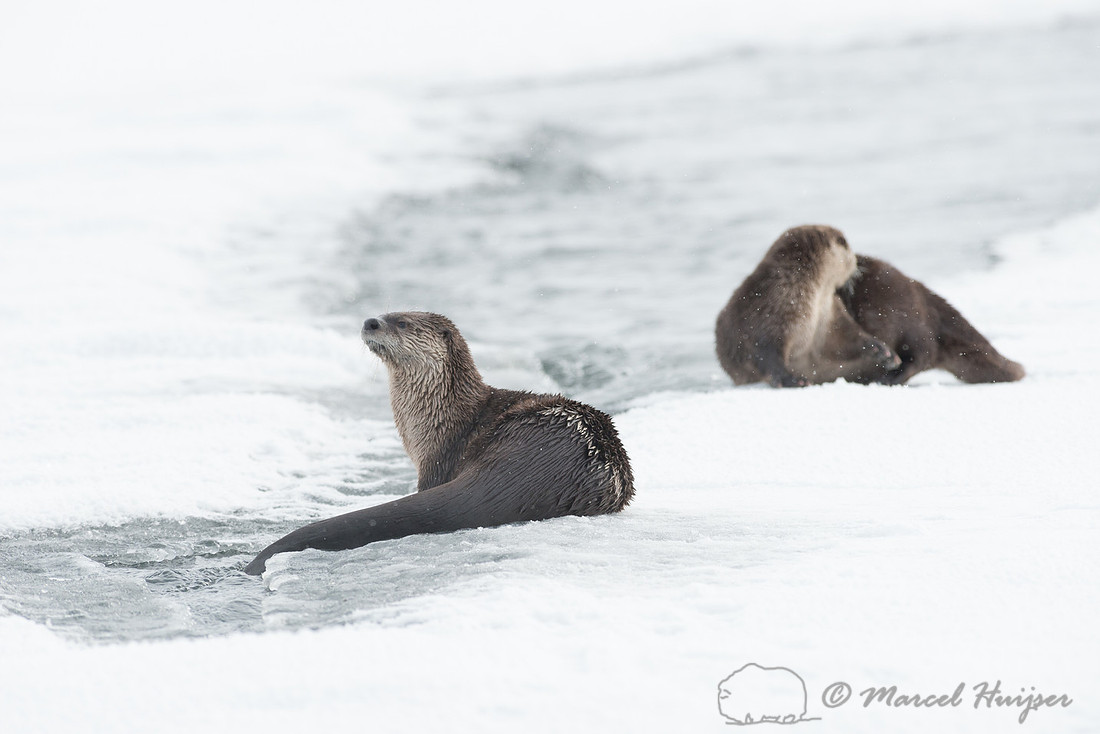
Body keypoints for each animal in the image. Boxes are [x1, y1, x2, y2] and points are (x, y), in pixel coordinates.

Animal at [244, 311, 634, 575]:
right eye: (385, 312)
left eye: (400, 322)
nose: (371, 321)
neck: (442, 412)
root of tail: (543, 468)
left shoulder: (436, 458)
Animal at [715, 225, 901, 387]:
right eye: (848, 247)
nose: (857, 262)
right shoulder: (764, 313)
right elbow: (764, 351)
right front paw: (792, 380)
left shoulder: (828, 318)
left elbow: (847, 337)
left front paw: (883, 352)